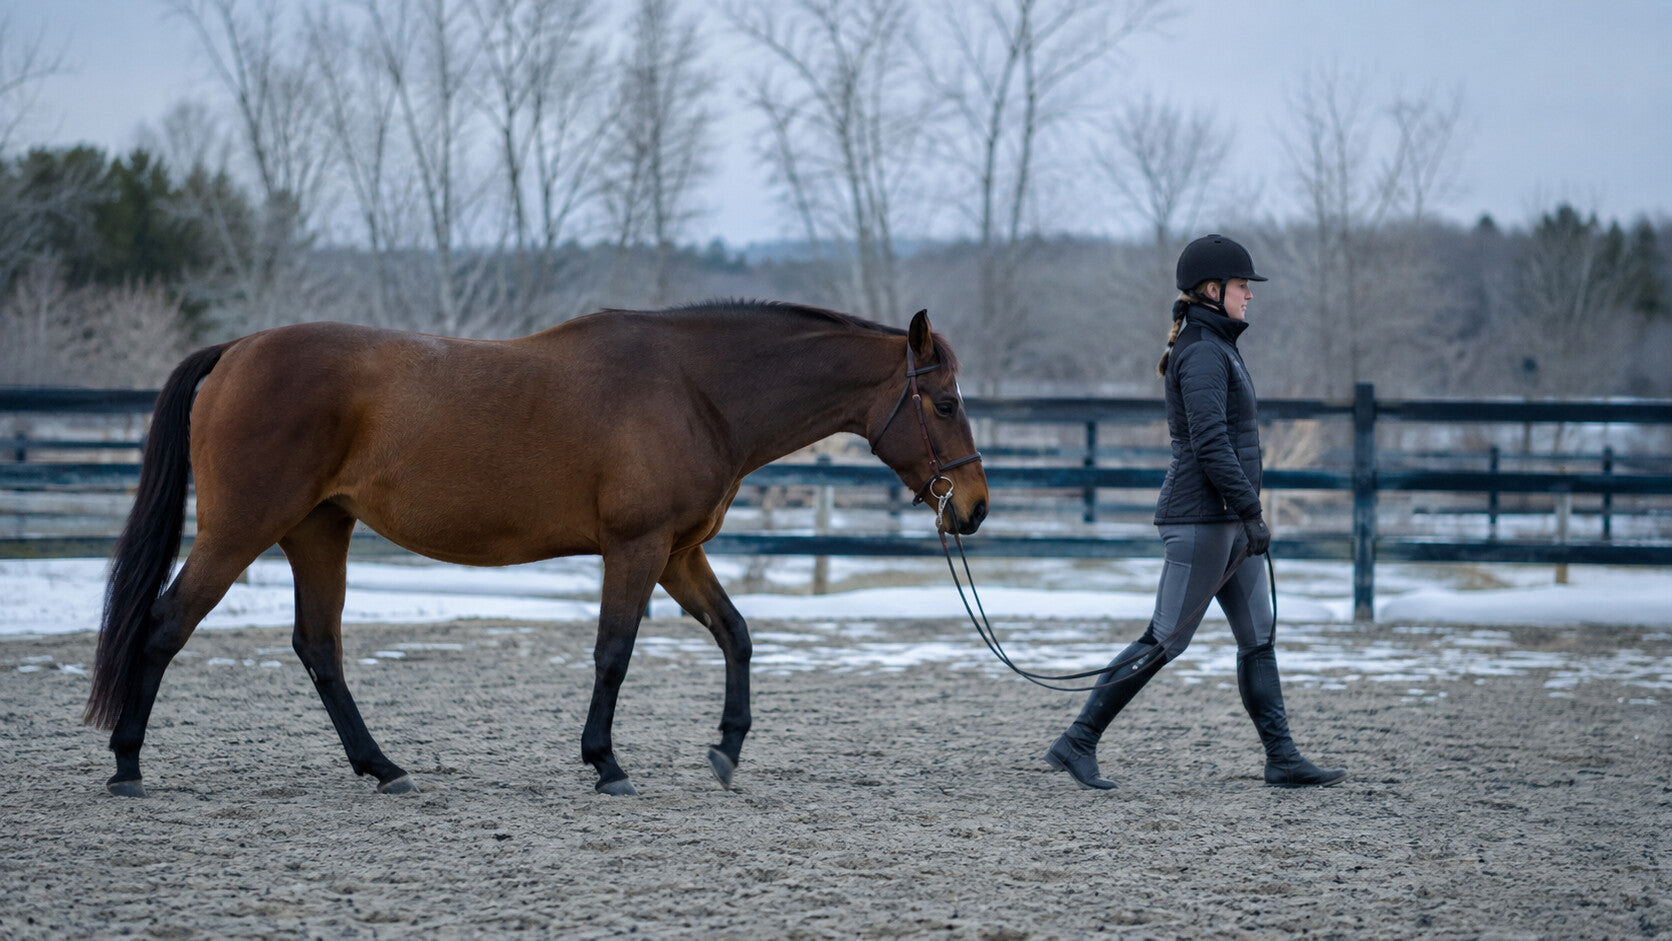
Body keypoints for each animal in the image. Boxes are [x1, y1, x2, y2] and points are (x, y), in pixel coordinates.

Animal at [83, 301, 988, 797]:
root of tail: (236, 352)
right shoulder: (636, 549)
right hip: (241, 530)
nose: (974, 508)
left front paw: (727, 749)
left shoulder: (678, 553)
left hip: (318, 530)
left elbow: (736, 634)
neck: (695, 388)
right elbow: (614, 653)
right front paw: (606, 762)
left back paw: (382, 766)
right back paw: (127, 765)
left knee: (319, 648)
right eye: (944, 402)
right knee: (164, 627)